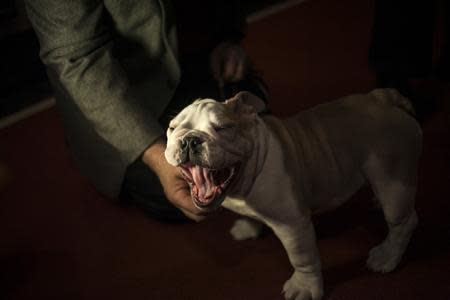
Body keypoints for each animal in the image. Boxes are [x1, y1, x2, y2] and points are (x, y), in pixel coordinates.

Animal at [165, 89, 422, 300]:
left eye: (223, 128)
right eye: (173, 128)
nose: (189, 140)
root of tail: (384, 98)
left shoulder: (292, 224)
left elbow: (302, 257)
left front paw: (304, 287)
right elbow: (250, 217)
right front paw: (248, 227)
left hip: (393, 180)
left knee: (404, 222)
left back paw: (386, 257)